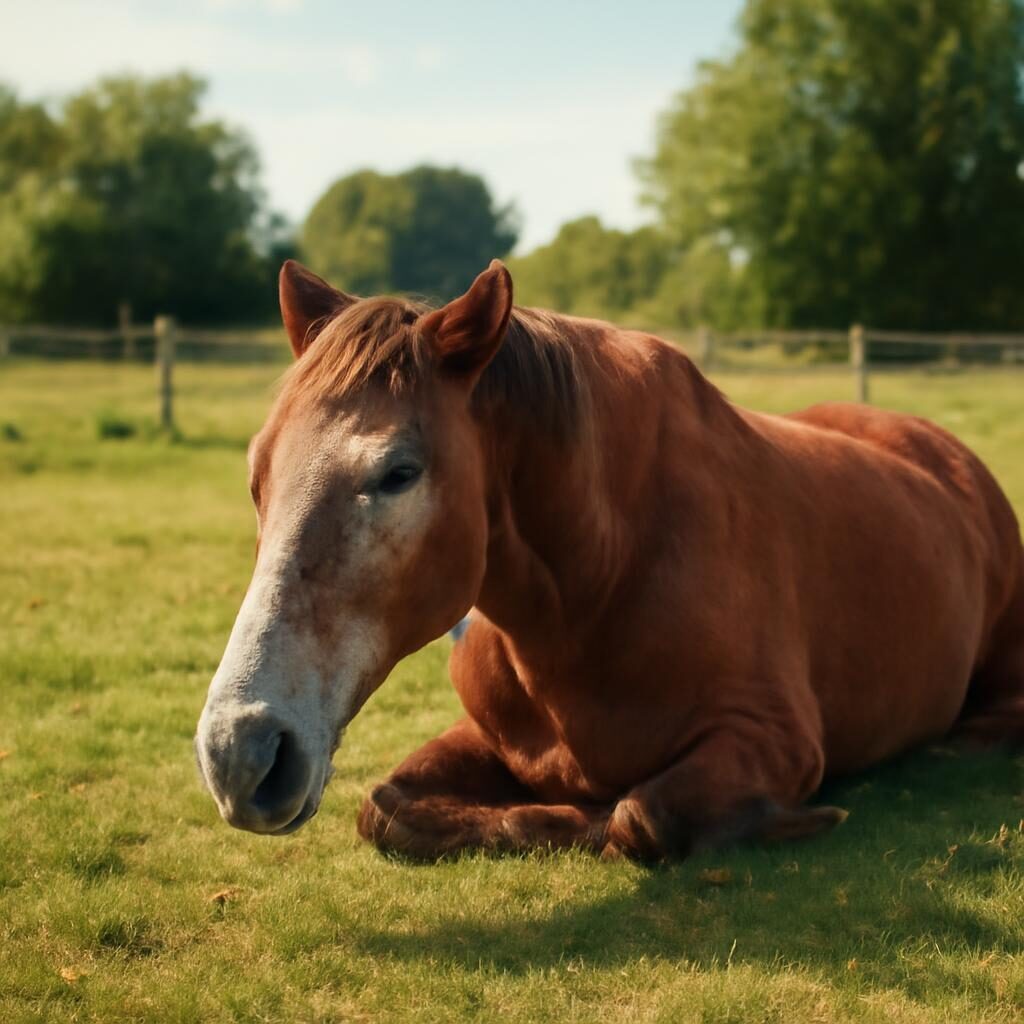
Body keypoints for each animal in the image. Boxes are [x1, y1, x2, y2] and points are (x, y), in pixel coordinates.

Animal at [195, 259, 1024, 860]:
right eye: (256, 472)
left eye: (399, 472)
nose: (240, 751)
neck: (601, 587)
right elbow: (387, 809)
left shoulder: (774, 739)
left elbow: (639, 817)